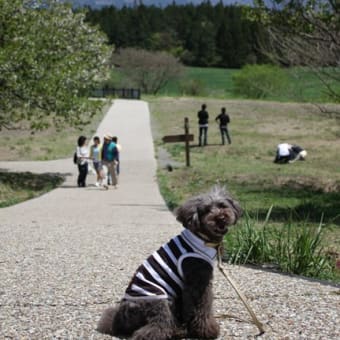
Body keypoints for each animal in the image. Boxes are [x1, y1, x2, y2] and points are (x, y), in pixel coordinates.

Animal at [97, 186, 243, 340]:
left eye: (222, 206)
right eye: (207, 210)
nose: (221, 218)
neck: (202, 238)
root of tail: (122, 318)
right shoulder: (198, 281)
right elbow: (202, 307)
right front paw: (207, 331)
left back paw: (177, 330)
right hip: (159, 301)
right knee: (155, 327)